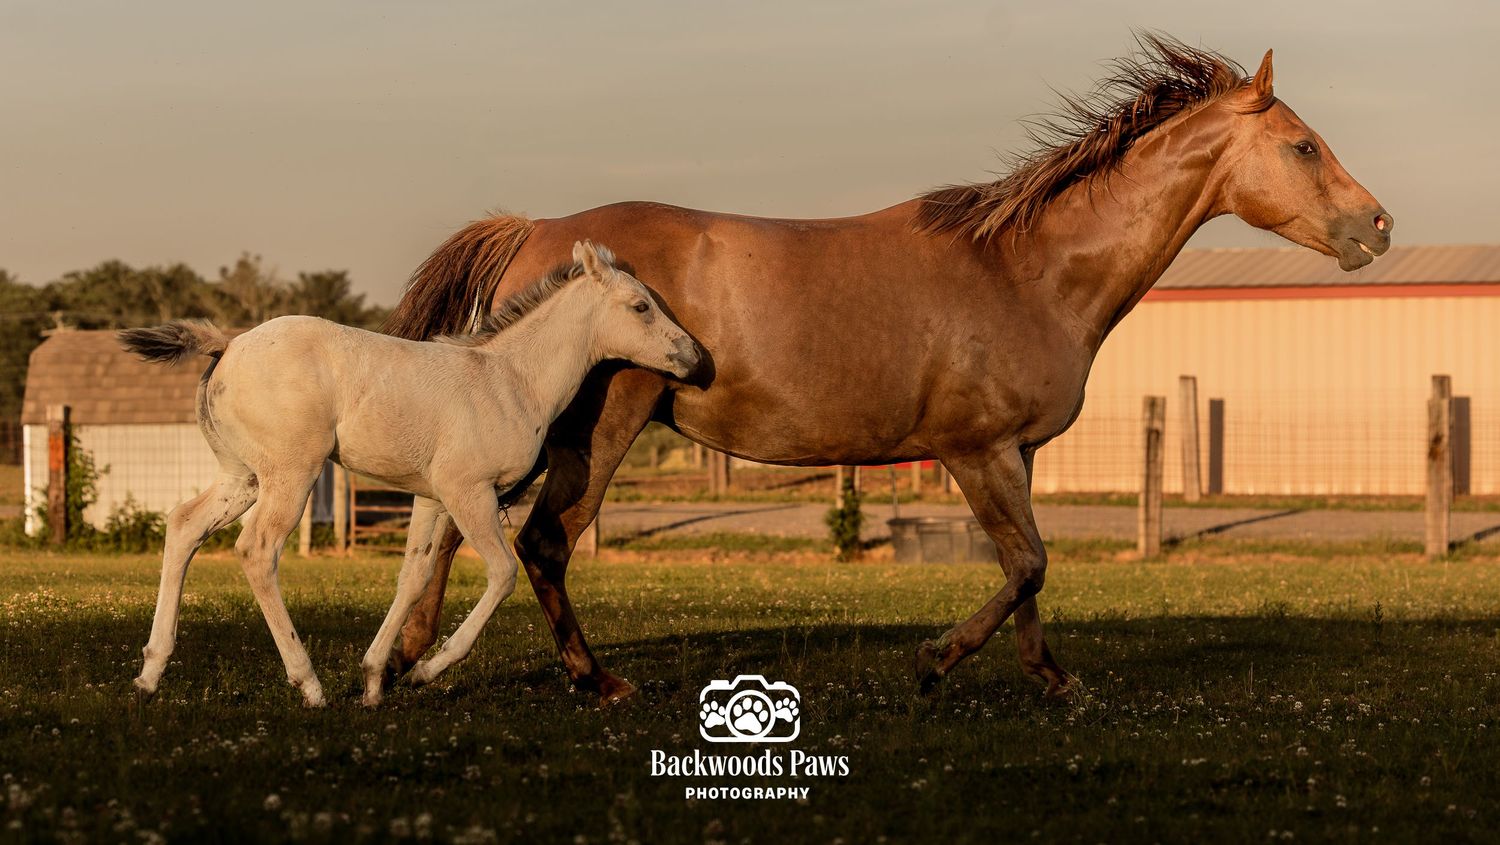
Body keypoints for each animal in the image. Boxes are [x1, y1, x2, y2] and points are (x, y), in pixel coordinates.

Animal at [121, 241, 702, 707]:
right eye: (641, 306)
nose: (695, 357)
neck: (511, 380)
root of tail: (230, 345)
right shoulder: (469, 492)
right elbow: (502, 573)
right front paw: (425, 671)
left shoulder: (431, 498)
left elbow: (414, 575)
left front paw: (375, 680)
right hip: (291, 474)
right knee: (257, 550)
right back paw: (308, 684)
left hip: (242, 477)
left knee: (183, 526)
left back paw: (150, 673)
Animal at [382, 36, 1393, 704]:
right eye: (1304, 145)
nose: (1378, 226)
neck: (1028, 272)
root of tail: (535, 231)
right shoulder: (973, 449)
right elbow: (1026, 562)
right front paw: (935, 659)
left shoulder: (1016, 453)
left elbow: (1031, 569)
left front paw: (1049, 676)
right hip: (596, 428)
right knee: (543, 541)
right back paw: (595, 681)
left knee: (453, 526)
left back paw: (409, 659)